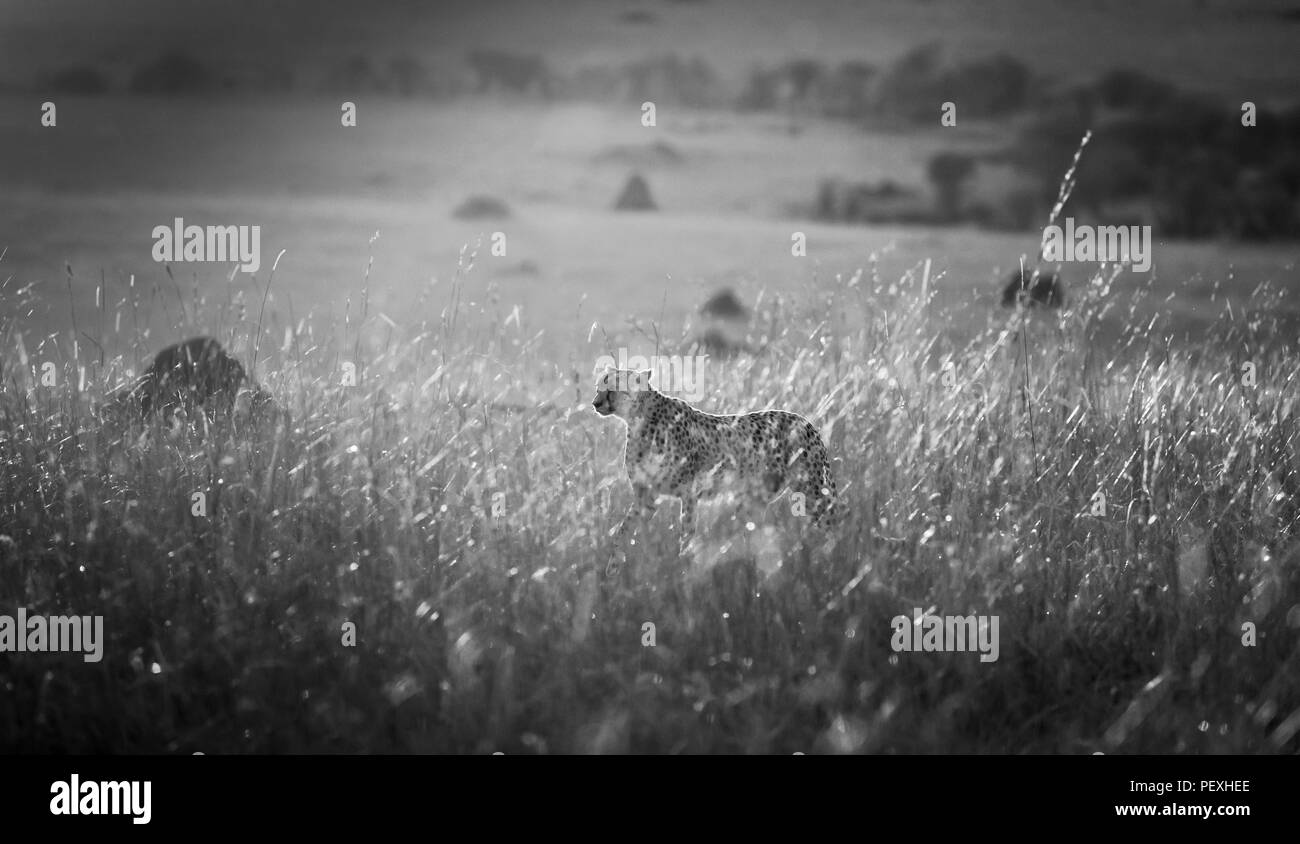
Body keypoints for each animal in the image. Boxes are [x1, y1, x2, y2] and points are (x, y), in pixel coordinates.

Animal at [592, 364, 837, 553]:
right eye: (598, 388)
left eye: (611, 390)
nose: (595, 403)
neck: (637, 419)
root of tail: (805, 420)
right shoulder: (646, 497)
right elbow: (622, 532)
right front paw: (612, 571)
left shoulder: (689, 493)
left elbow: (686, 534)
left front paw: (683, 569)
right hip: (752, 500)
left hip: (815, 492)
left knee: (834, 525)